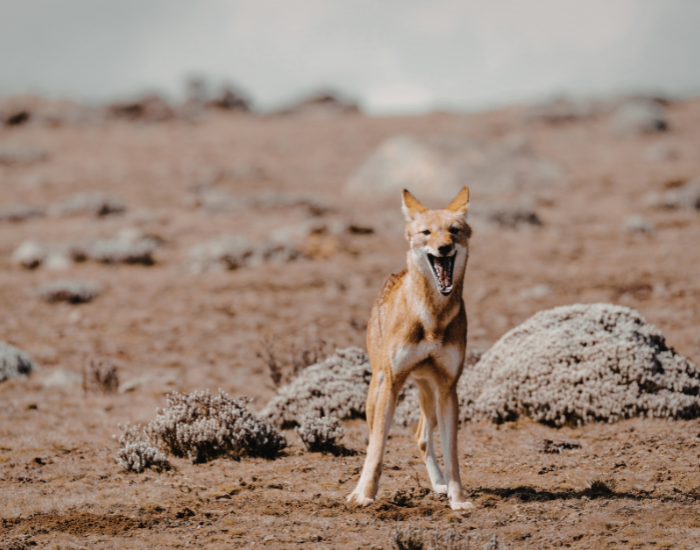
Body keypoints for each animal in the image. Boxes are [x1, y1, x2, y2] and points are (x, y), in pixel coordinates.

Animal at [347, 186, 474, 511]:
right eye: (426, 232)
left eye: (454, 231)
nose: (444, 248)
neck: (432, 318)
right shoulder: (392, 384)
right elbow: (378, 448)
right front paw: (365, 495)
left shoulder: (449, 389)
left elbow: (452, 455)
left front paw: (457, 499)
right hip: (377, 391)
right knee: (374, 440)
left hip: (430, 395)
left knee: (421, 437)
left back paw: (439, 484)